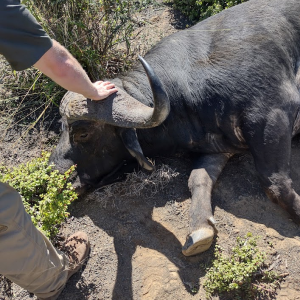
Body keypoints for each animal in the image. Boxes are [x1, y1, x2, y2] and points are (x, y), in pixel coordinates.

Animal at [49, 0, 300, 256]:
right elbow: (197, 178)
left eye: (83, 133)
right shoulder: (219, 147)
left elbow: (276, 183)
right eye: (62, 127)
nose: (53, 172)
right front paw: (200, 229)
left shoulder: (274, 114)